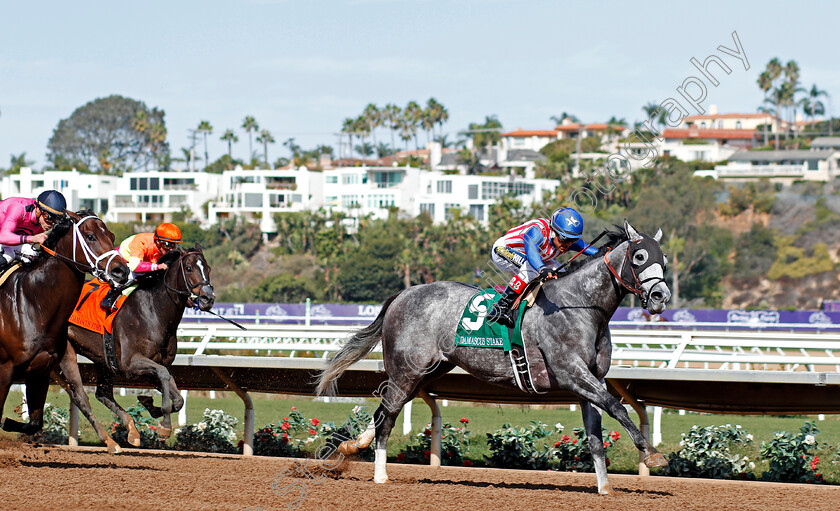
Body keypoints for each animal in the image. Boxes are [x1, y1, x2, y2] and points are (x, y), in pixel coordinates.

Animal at [0, 212, 128, 436]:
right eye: (90, 236)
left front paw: (7, 422)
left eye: (112, 236)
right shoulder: (5, 369)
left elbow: (34, 423)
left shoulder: (41, 370)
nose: (122, 271)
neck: (33, 304)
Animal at [55, 246, 213, 454]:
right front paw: (164, 425)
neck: (154, 313)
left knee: (103, 394)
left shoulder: (152, 365)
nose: (208, 298)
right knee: (80, 396)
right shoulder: (129, 364)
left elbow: (177, 396)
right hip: (67, 352)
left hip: (103, 359)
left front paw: (150, 405)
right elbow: (163, 376)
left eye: (208, 269)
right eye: (188, 268)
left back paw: (132, 431)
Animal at [318, 221, 672, 496]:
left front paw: (604, 487)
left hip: (429, 371)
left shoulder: (590, 380)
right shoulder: (572, 373)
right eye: (640, 256)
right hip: (407, 369)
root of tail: (403, 294)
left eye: (664, 259)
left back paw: (353, 446)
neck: (581, 306)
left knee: (386, 409)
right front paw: (652, 454)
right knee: (388, 416)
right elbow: (617, 407)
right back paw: (380, 475)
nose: (661, 297)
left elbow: (596, 436)